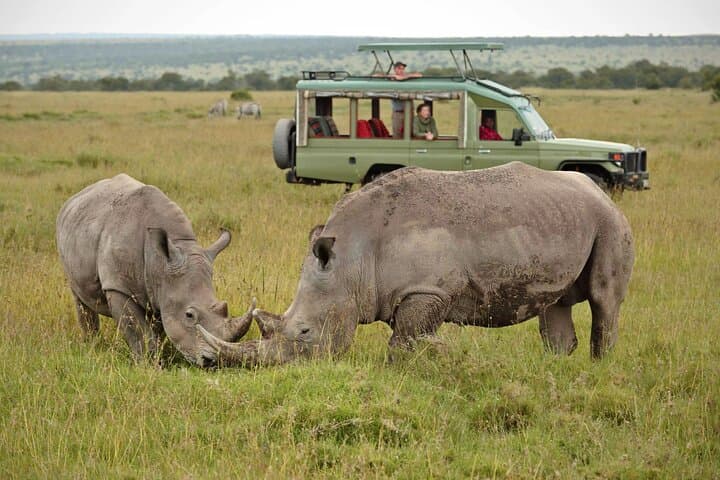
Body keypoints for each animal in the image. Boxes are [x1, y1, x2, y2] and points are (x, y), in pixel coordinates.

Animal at [56, 174, 253, 366]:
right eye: (189, 315)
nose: (214, 361)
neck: (159, 261)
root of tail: (73, 199)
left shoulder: (162, 290)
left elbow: (158, 330)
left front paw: (157, 358)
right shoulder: (118, 286)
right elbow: (138, 332)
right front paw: (146, 364)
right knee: (79, 297)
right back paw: (93, 345)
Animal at [198, 162, 634, 367]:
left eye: (304, 332)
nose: (281, 368)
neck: (352, 258)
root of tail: (600, 192)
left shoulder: (427, 290)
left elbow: (403, 343)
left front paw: (411, 366)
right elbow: (405, 340)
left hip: (609, 222)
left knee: (604, 301)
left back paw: (599, 366)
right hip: (566, 220)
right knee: (555, 306)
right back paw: (557, 367)